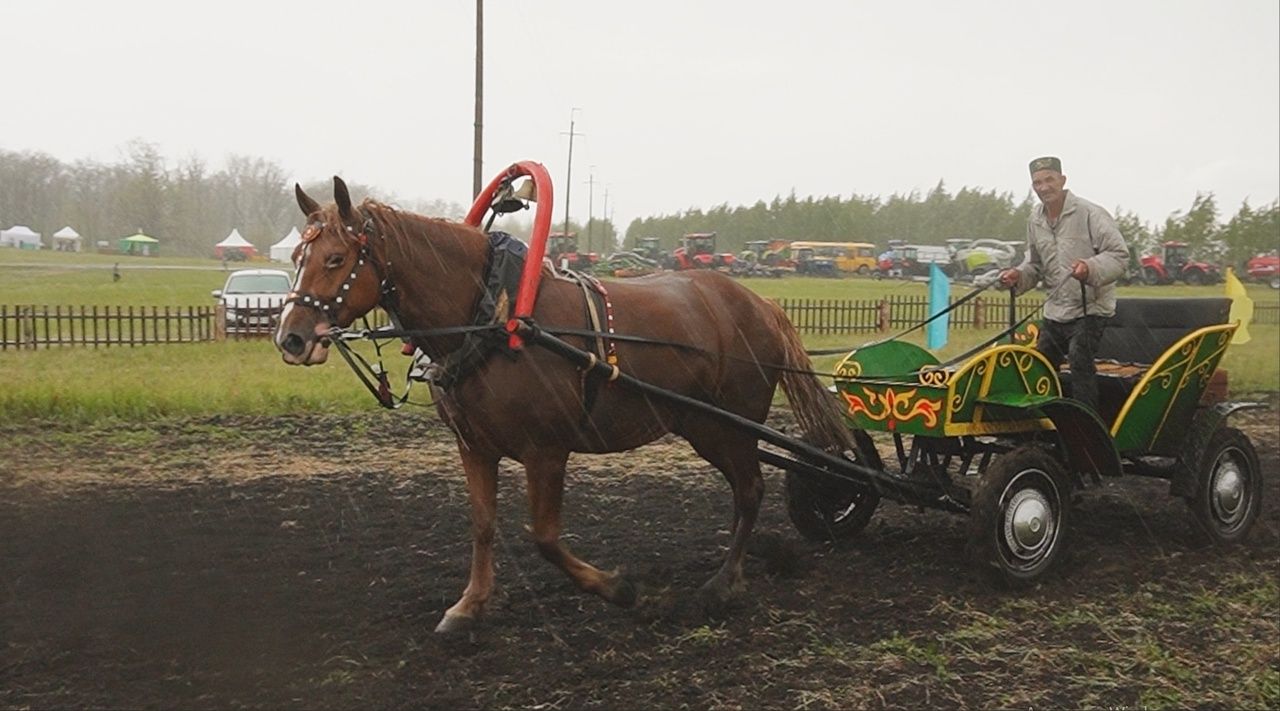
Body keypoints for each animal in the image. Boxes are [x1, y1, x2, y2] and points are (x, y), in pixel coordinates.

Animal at [276, 178, 855, 635]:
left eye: (336, 259)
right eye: (297, 258)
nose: (291, 338)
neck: (495, 315)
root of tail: (758, 302)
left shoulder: (546, 451)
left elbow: (546, 538)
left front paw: (619, 588)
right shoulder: (474, 447)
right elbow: (483, 526)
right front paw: (469, 606)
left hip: (728, 427)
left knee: (750, 490)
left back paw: (725, 582)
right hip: (702, 426)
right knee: (747, 489)